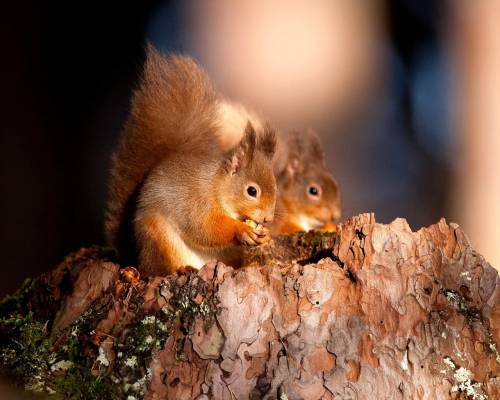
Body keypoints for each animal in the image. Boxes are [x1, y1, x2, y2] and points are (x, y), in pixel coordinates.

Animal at [105, 47, 278, 276]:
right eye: (252, 191)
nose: (268, 219)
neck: (216, 186)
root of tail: (138, 256)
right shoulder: (196, 202)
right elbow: (205, 228)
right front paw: (241, 230)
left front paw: (266, 236)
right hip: (158, 237)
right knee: (158, 269)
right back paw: (181, 269)